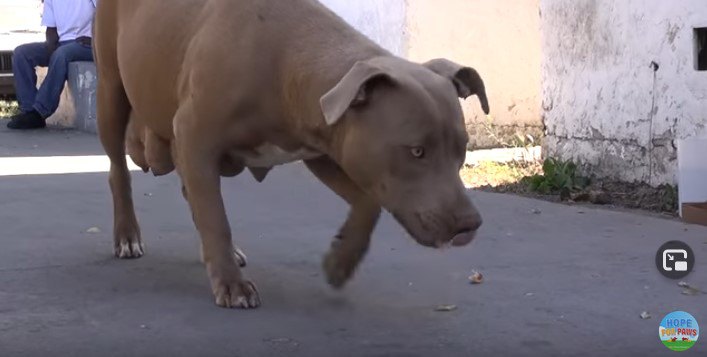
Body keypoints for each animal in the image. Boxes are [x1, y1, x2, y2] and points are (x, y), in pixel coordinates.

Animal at [94, 0, 490, 308]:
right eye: (416, 151)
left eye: (462, 150)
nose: (469, 223)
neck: (284, 65)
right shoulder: (195, 135)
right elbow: (216, 218)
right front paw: (231, 284)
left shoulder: (327, 148)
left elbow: (368, 203)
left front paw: (341, 262)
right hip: (111, 92)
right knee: (119, 172)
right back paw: (127, 235)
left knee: (191, 192)